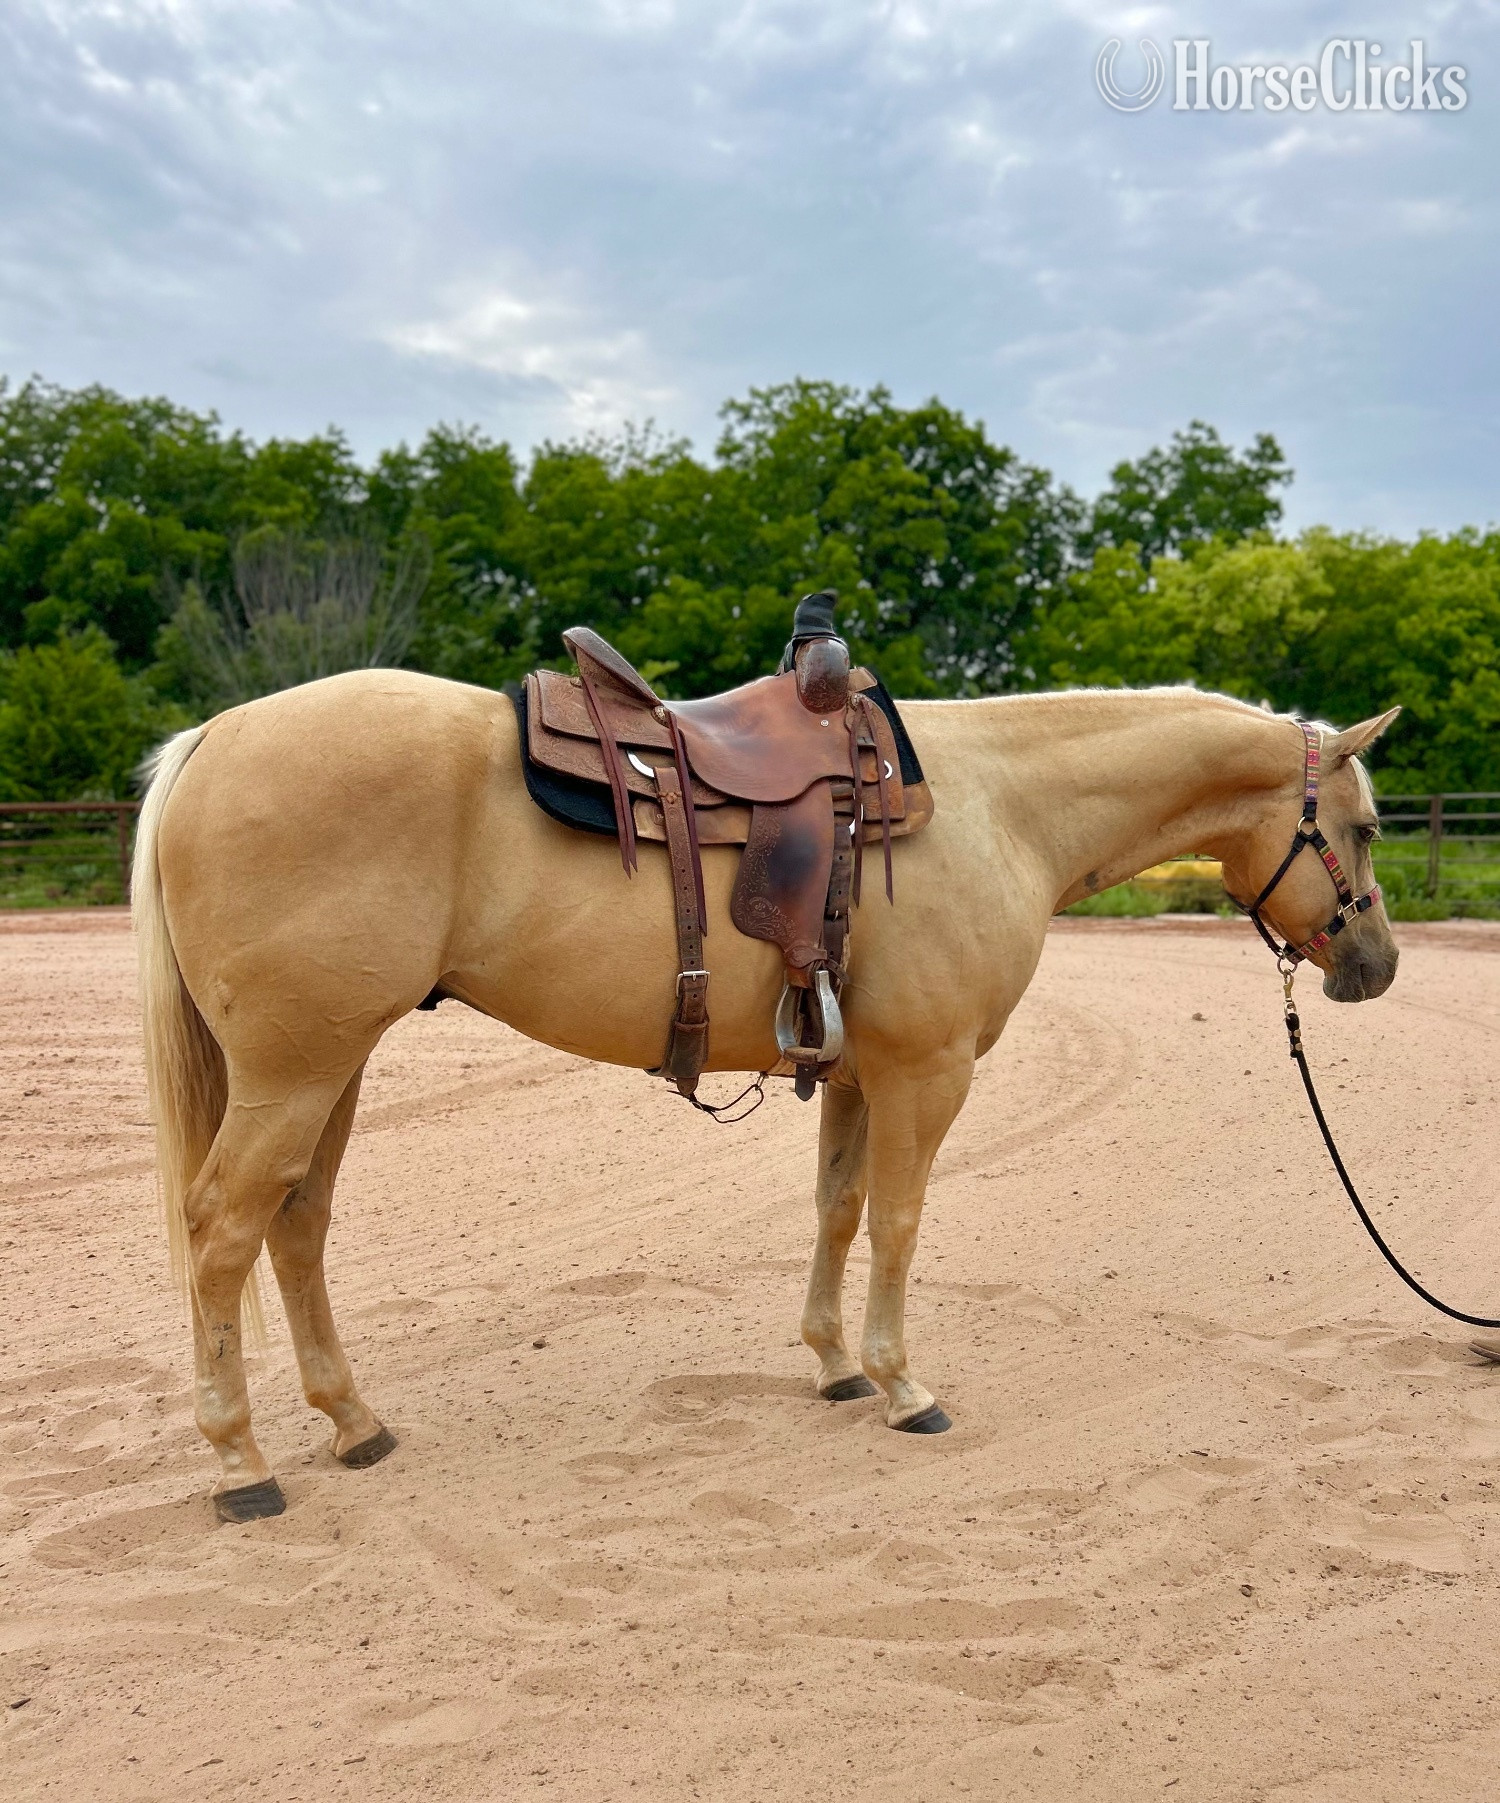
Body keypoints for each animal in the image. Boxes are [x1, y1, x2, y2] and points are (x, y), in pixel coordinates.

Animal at [132, 670, 1400, 1519]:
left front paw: (834, 1365)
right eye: (1366, 825)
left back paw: (353, 1423)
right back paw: (241, 1464)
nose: (1375, 965)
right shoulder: (927, 1071)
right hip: (294, 1073)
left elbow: (839, 1211)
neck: (998, 807)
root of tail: (213, 739)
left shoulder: (857, 1072)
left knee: (296, 1227)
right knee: (222, 1231)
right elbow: (899, 1221)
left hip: (330, 1068)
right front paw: (901, 1386)